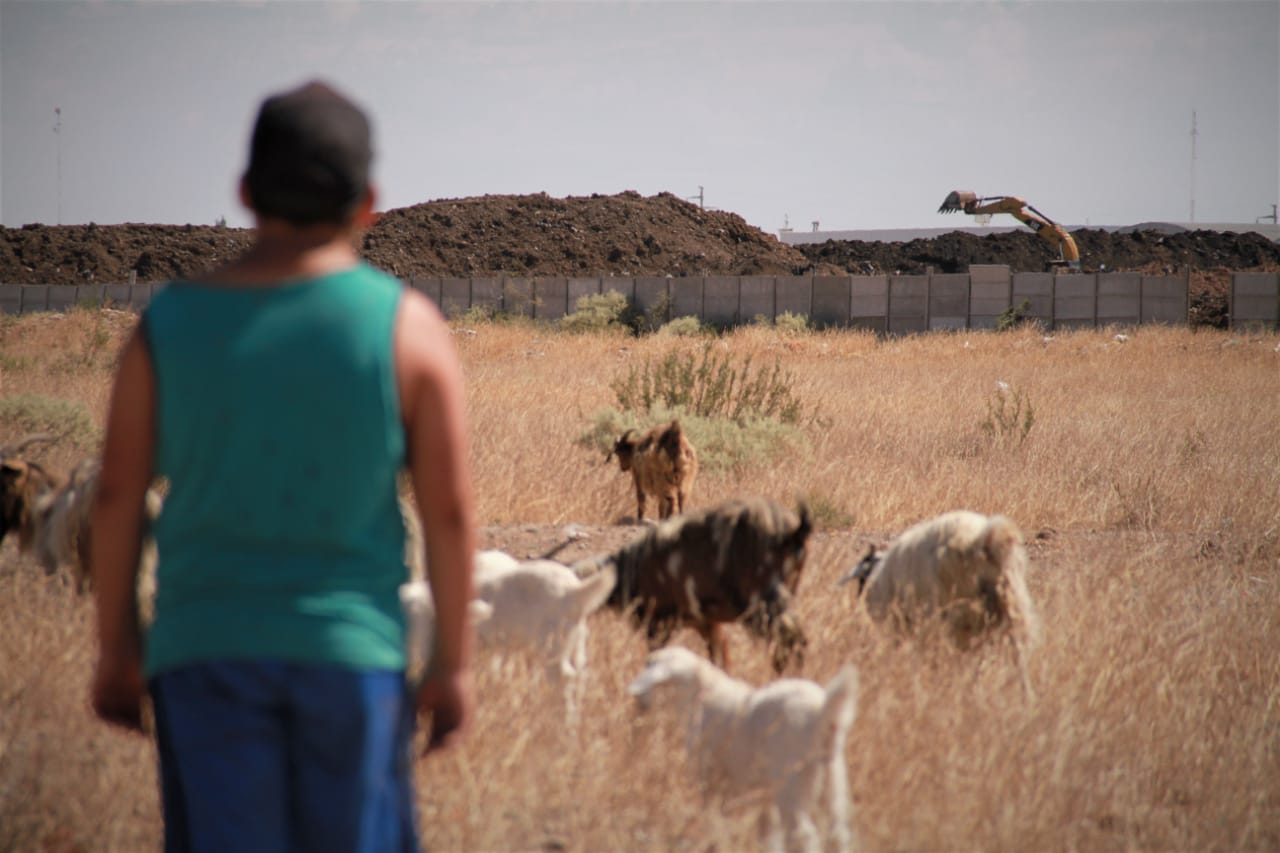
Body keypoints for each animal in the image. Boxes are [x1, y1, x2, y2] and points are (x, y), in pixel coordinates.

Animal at [627, 645, 860, 850]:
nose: (638, 701)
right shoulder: (762, 796)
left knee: (803, 834)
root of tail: (821, 713)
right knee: (838, 833)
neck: (701, 696)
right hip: (832, 782)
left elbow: (715, 820)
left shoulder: (712, 781)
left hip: (791, 782)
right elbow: (768, 836)